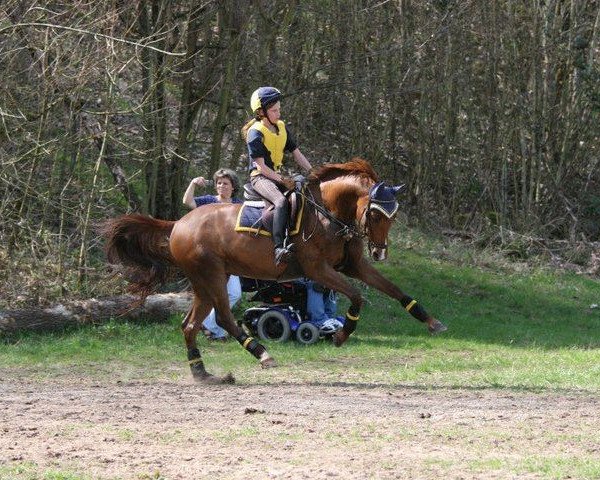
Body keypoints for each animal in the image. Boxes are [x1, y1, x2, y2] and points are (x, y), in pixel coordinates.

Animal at [102, 159, 446, 384]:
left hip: (205, 279)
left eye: (394, 215)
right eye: (375, 214)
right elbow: (357, 296)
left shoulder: (352, 265)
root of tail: (178, 224)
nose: (380, 252)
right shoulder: (317, 270)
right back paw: (261, 353)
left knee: (189, 325)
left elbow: (395, 290)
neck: (328, 214)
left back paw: (203, 373)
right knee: (224, 318)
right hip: (211, 275)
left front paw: (432, 322)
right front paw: (341, 334)